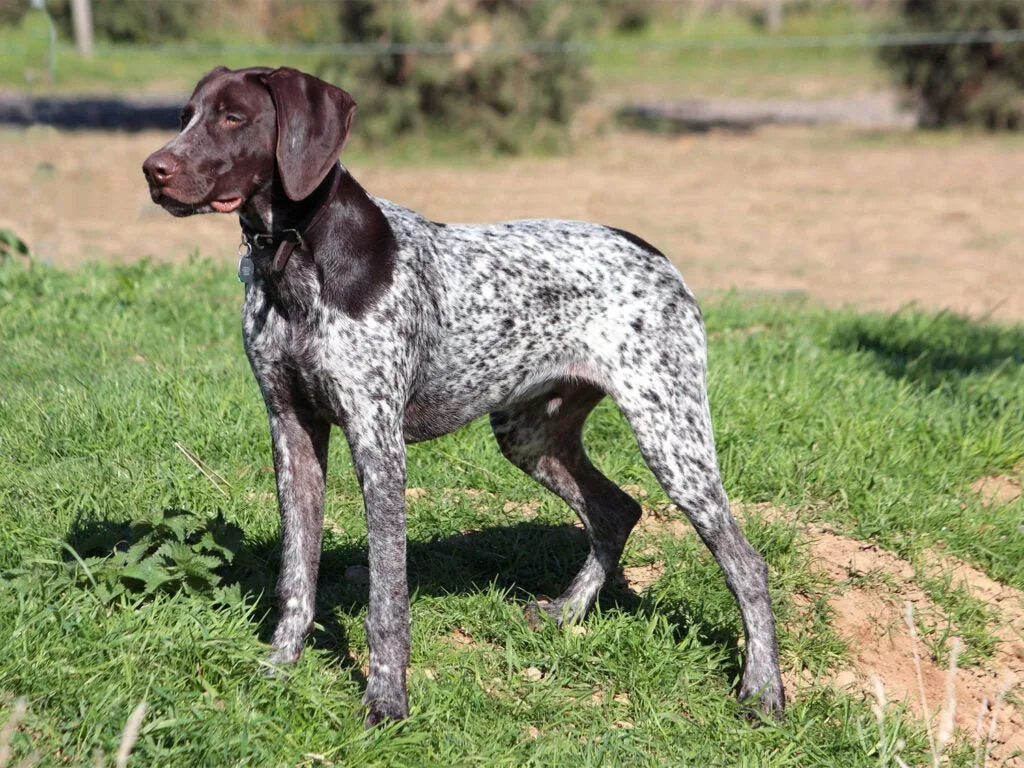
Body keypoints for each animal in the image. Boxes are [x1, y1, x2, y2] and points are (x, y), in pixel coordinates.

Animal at [142, 66, 782, 729]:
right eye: (186, 116)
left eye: (234, 118)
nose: (152, 169)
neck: (295, 257)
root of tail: (658, 255)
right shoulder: (290, 429)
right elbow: (297, 577)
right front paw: (276, 670)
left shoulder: (378, 443)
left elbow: (386, 598)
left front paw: (386, 702)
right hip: (530, 435)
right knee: (616, 511)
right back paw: (565, 613)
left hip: (671, 437)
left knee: (746, 564)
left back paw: (762, 688)